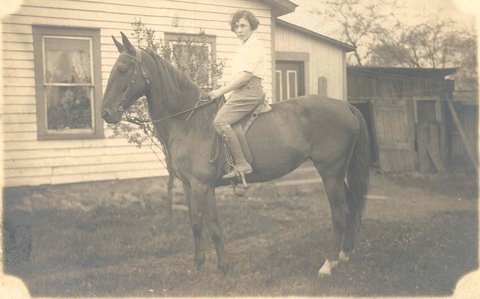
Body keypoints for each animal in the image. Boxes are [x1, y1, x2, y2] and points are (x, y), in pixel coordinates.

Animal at [102, 31, 372, 278]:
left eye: (123, 70)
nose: (106, 113)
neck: (188, 121)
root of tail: (346, 106)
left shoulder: (203, 186)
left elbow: (213, 226)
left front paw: (223, 266)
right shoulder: (188, 186)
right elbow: (195, 224)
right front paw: (198, 265)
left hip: (331, 172)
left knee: (339, 213)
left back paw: (329, 264)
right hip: (338, 172)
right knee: (349, 206)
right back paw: (345, 253)